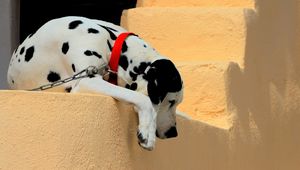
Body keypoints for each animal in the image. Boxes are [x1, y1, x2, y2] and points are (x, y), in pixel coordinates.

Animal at [7, 16, 184, 151]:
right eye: (171, 101)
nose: (173, 133)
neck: (112, 43)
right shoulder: (85, 80)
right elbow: (143, 99)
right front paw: (147, 133)